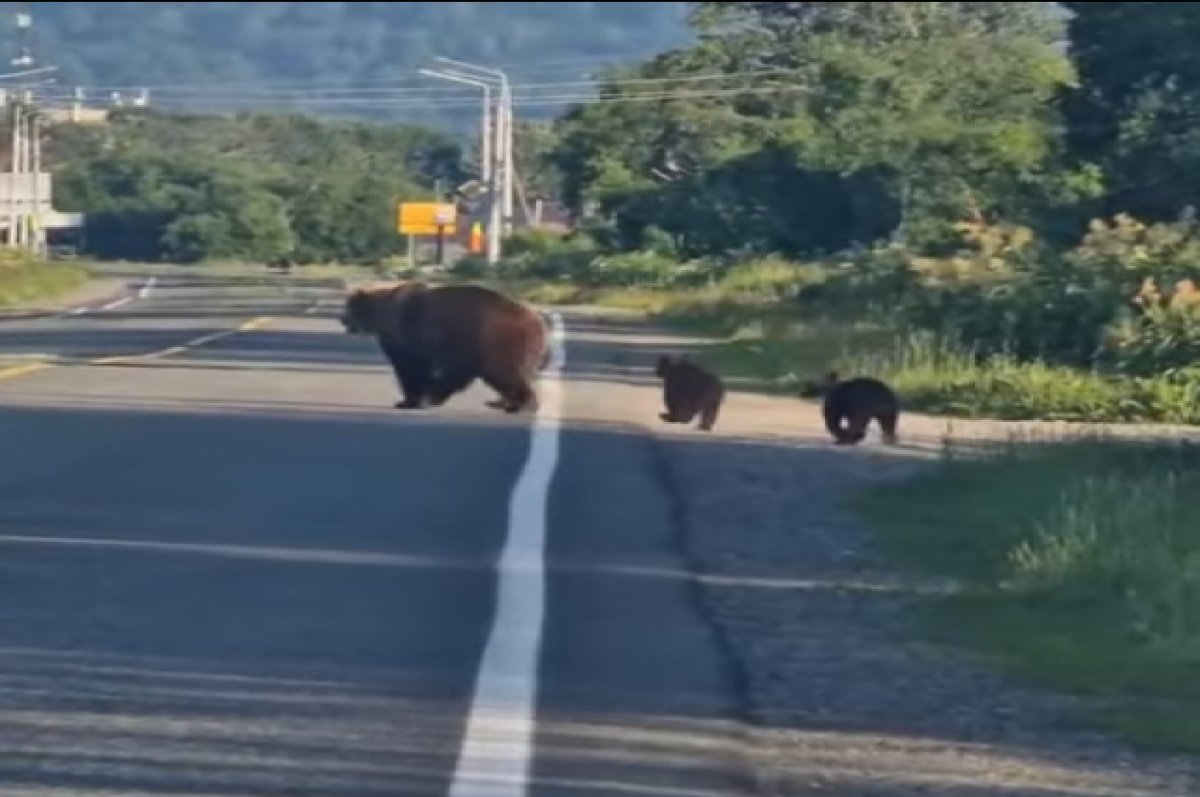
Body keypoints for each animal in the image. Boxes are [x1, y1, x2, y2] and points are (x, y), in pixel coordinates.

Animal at [340, 279, 549, 412]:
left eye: (349, 307)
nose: (342, 318)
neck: (384, 319)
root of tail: (536, 321)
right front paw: (414, 399)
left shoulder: (412, 336)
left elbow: (412, 368)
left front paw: (414, 399)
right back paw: (504, 402)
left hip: (495, 342)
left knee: (505, 373)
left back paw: (521, 404)